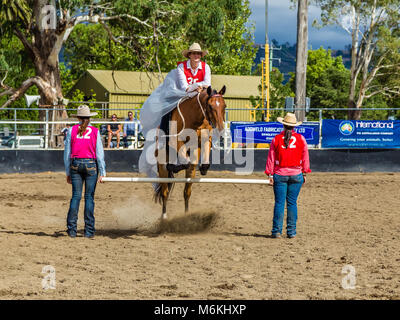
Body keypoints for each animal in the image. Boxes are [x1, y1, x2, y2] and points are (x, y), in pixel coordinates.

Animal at [155, 85, 227, 220]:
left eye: (224, 106)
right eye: (210, 106)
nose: (220, 130)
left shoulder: (205, 140)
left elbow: (201, 164)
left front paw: (203, 168)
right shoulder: (178, 140)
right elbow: (184, 162)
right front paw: (175, 166)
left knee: (186, 192)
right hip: (161, 166)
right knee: (164, 192)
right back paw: (164, 217)